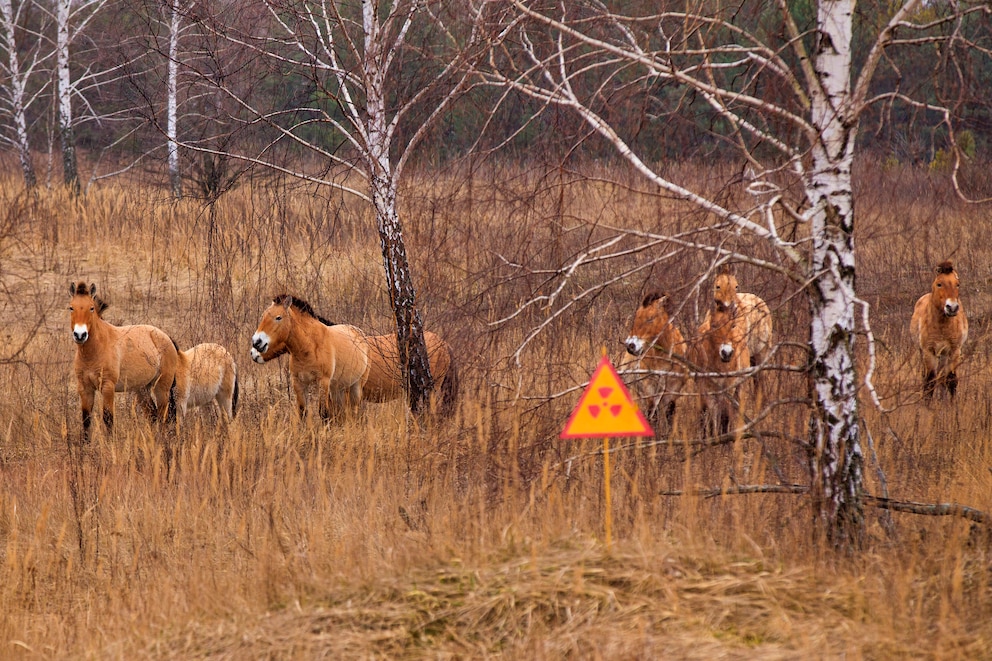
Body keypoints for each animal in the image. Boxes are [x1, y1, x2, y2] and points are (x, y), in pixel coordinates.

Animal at [68, 282, 180, 440]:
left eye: (91, 308)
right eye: (71, 307)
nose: (80, 335)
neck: (94, 352)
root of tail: (167, 337)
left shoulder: (107, 387)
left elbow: (108, 418)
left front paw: (110, 444)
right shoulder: (85, 388)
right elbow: (86, 420)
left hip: (162, 387)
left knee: (162, 416)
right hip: (142, 389)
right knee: (153, 415)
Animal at [620, 292, 688, 430]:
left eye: (650, 319)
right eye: (636, 317)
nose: (630, 346)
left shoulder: (673, 389)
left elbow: (669, 413)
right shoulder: (649, 386)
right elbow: (653, 413)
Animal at [688, 302, 752, 436]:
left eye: (732, 325)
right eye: (714, 326)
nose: (726, 353)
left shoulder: (728, 389)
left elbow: (725, 416)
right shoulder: (707, 389)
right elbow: (710, 418)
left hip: (740, 388)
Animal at [912, 262, 964, 398]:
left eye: (957, 284)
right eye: (939, 284)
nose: (952, 307)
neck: (942, 326)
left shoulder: (954, 350)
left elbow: (951, 380)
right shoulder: (929, 351)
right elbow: (929, 382)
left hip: (943, 355)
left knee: (942, 378)